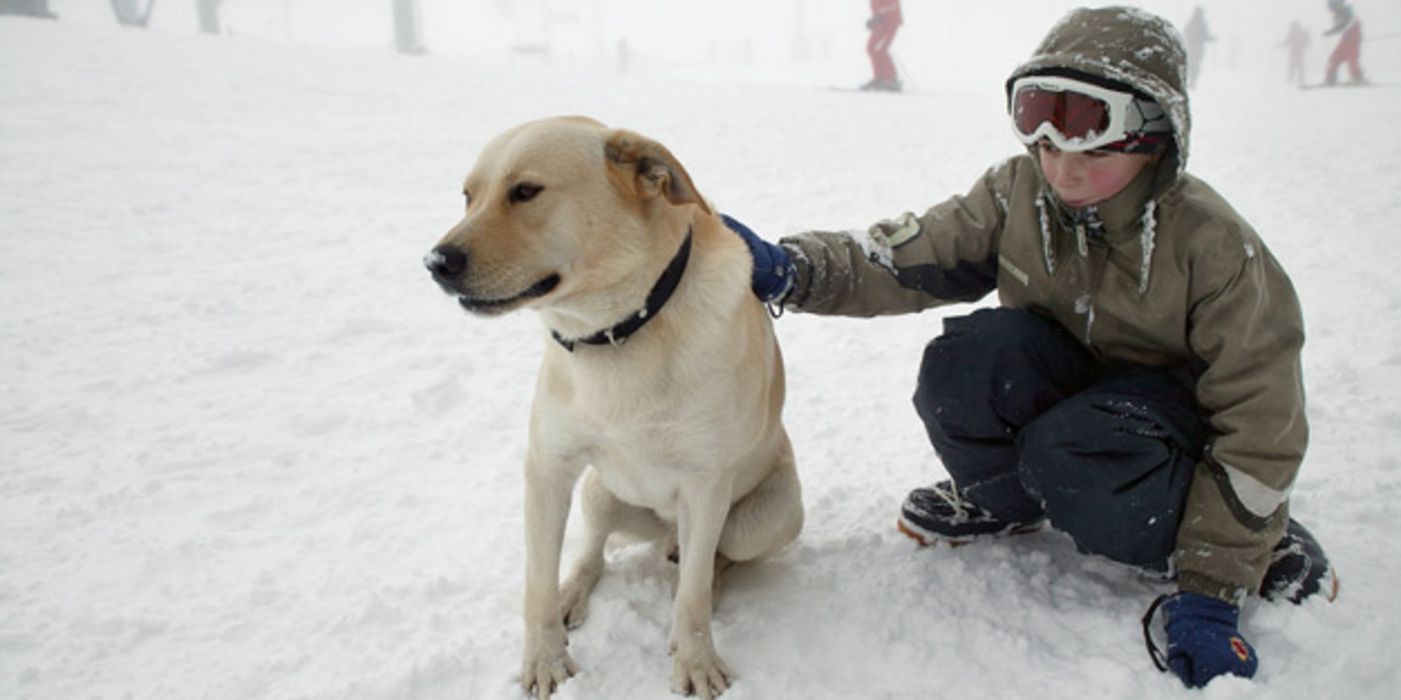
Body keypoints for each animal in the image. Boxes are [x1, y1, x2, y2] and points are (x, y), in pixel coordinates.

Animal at [420, 117, 801, 697]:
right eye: (468, 196)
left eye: (525, 191)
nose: (437, 262)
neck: (619, 330)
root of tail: (664, 531)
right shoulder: (548, 469)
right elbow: (537, 583)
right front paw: (545, 660)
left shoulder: (705, 483)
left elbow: (692, 596)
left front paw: (695, 661)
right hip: (600, 493)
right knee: (591, 553)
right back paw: (574, 592)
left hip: (771, 515)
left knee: (713, 559)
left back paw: (707, 582)